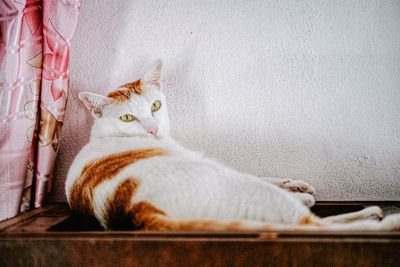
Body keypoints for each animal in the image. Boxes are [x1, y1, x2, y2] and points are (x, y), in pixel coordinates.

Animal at [65, 59, 400, 231]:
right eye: (127, 117)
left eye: (156, 106)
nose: (153, 129)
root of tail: (137, 211)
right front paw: (299, 193)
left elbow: (264, 174)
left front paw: (296, 184)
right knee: (314, 227)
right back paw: (379, 219)